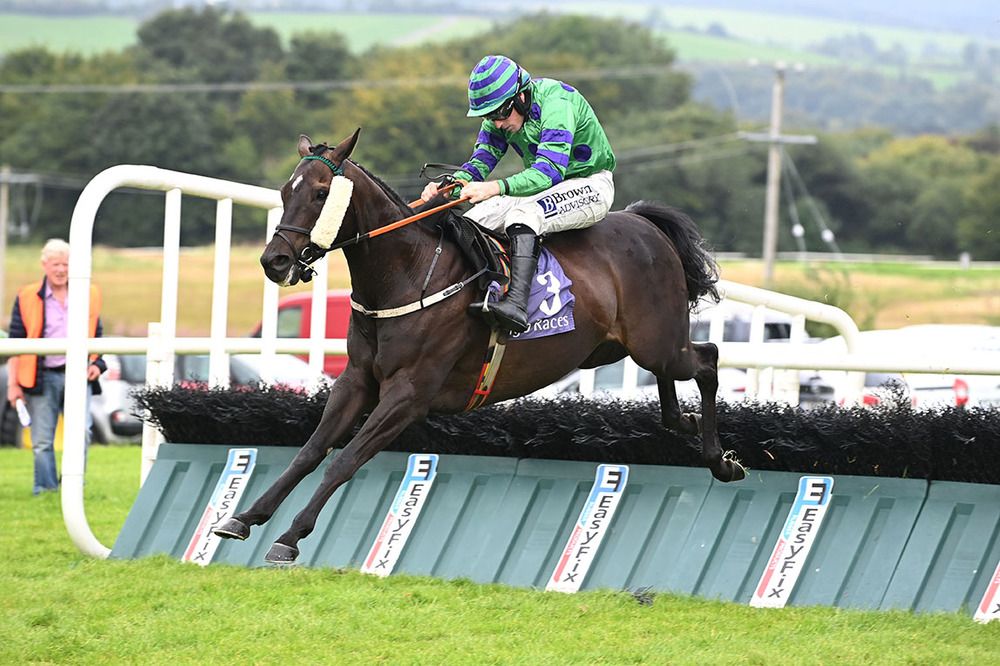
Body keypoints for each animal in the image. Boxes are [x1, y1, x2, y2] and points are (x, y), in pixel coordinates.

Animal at [213, 129, 745, 564]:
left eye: (322, 192)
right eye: (286, 191)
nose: (275, 260)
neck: (407, 274)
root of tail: (643, 222)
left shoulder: (409, 395)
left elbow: (344, 460)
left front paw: (290, 538)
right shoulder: (357, 381)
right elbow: (310, 450)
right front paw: (243, 517)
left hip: (656, 340)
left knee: (707, 360)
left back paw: (721, 460)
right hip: (620, 347)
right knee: (678, 379)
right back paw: (683, 422)